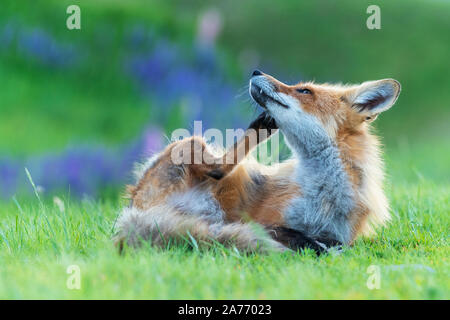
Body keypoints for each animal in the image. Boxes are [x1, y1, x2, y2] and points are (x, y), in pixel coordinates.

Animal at [115, 70, 400, 255]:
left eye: (304, 91)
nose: (256, 71)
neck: (324, 195)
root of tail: (132, 208)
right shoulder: (263, 217)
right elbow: (284, 232)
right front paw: (309, 246)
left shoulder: (340, 233)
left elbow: (323, 241)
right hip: (190, 143)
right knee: (218, 169)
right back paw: (261, 126)